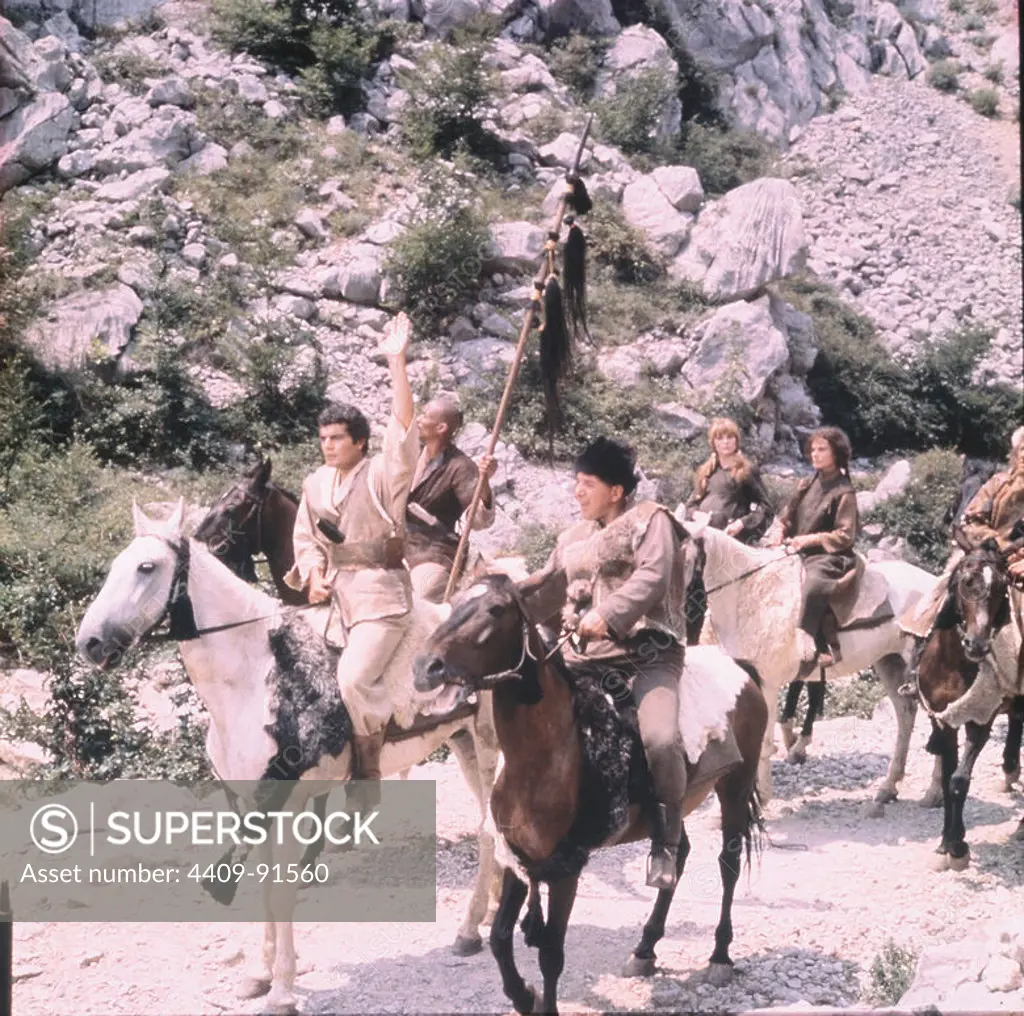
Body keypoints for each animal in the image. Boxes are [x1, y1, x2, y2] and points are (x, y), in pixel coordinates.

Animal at [74, 501, 501, 1016]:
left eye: (147, 567)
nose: (90, 643)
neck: (256, 675)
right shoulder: (252, 805)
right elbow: (262, 889)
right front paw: (259, 976)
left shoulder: (290, 807)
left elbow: (280, 894)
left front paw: (281, 990)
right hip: (462, 743)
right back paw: (485, 917)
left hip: (490, 747)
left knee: (494, 830)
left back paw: (476, 928)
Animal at [409, 573, 770, 1011]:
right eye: (457, 601)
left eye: (495, 610)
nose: (426, 667)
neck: (549, 751)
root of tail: (740, 668)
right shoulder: (517, 856)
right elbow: (499, 939)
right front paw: (523, 995)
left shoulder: (568, 866)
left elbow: (551, 952)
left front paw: (541, 1000)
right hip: (677, 803)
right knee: (677, 855)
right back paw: (644, 950)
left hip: (735, 786)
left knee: (728, 865)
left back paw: (719, 956)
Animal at [684, 520, 937, 807]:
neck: (748, 593)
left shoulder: (768, 683)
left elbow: (763, 742)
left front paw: (763, 796)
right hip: (889, 662)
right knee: (906, 714)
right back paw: (889, 787)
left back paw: (934, 792)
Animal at [913, 532, 1024, 872]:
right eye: (966, 581)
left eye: (1002, 587)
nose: (977, 644)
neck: (953, 664)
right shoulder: (943, 720)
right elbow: (947, 776)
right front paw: (944, 844)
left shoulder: (979, 721)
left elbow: (959, 780)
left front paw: (958, 847)